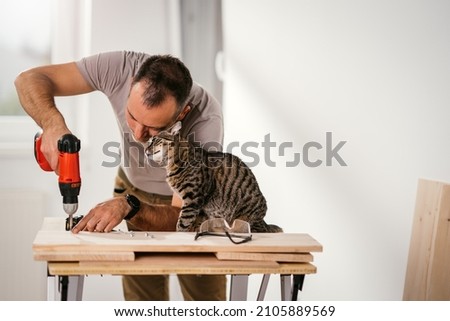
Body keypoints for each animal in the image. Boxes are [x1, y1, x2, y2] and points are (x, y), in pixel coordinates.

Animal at [146, 121, 284, 234]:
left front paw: (179, 233)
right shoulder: (199, 206)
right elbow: (195, 221)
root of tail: (263, 220)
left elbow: (183, 222)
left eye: (154, 140)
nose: (145, 149)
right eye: (148, 142)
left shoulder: (192, 198)